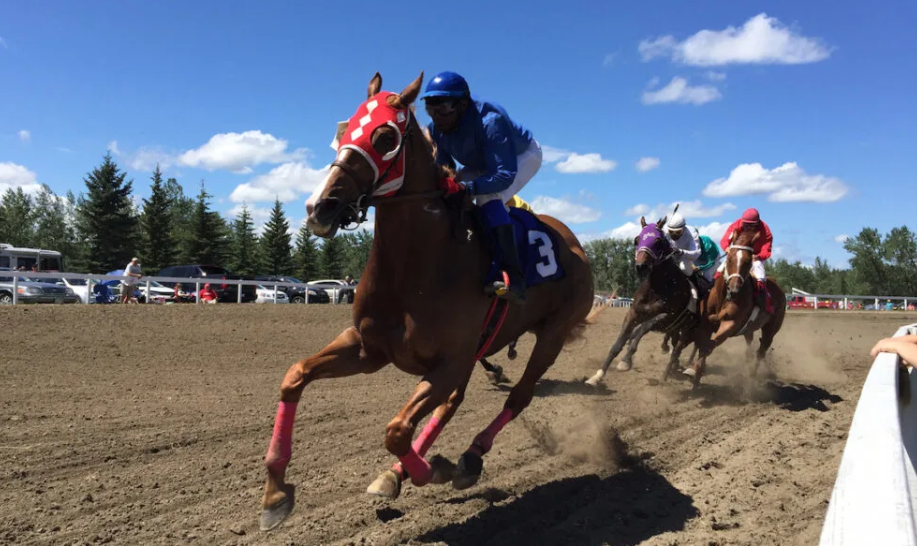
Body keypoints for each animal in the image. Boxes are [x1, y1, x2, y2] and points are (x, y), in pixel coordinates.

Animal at [259, 71, 597, 531]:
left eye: (385, 137)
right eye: (344, 131)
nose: (319, 207)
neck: (417, 266)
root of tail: (574, 244)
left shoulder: (448, 361)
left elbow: (397, 430)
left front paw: (433, 469)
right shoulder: (369, 348)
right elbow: (295, 375)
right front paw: (275, 494)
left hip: (552, 336)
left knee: (518, 397)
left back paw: (469, 456)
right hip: (478, 350)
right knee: (453, 404)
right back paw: (413, 469)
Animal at [585, 216, 704, 387]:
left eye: (658, 240)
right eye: (636, 240)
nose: (641, 266)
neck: (658, 287)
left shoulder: (667, 317)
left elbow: (643, 328)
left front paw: (626, 360)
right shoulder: (633, 312)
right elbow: (618, 344)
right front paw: (598, 375)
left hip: (689, 328)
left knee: (682, 348)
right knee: (675, 345)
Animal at [682, 228, 787, 386]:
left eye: (748, 261)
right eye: (730, 258)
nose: (734, 289)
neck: (723, 297)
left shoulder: (730, 324)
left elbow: (708, 346)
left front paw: (693, 370)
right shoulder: (706, 323)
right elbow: (702, 344)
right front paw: (696, 372)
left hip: (771, 328)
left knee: (761, 350)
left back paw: (753, 376)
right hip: (749, 330)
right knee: (750, 349)